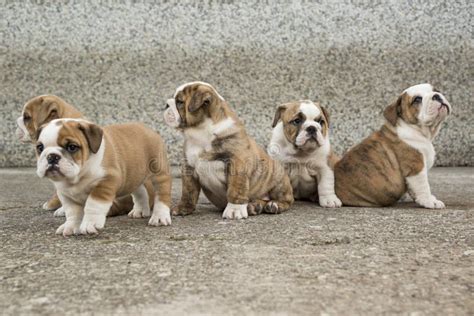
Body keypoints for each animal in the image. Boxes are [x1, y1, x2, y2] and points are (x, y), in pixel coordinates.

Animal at [35, 118, 172, 235]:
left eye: (72, 147)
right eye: (40, 147)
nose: (52, 156)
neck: (78, 176)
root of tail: (149, 129)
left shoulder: (105, 182)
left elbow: (93, 204)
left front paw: (90, 224)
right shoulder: (66, 194)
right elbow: (72, 211)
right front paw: (71, 226)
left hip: (158, 172)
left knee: (162, 193)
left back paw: (160, 216)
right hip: (134, 176)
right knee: (140, 192)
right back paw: (140, 210)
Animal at [165, 81, 294, 220]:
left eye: (179, 102)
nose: (166, 104)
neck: (201, 132)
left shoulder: (237, 163)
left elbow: (236, 189)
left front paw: (234, 210)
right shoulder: (188, 167)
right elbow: (188, 191)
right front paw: (183, 208)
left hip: (279, 179)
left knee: (287, 200)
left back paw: (274, 205)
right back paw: (254, 206)